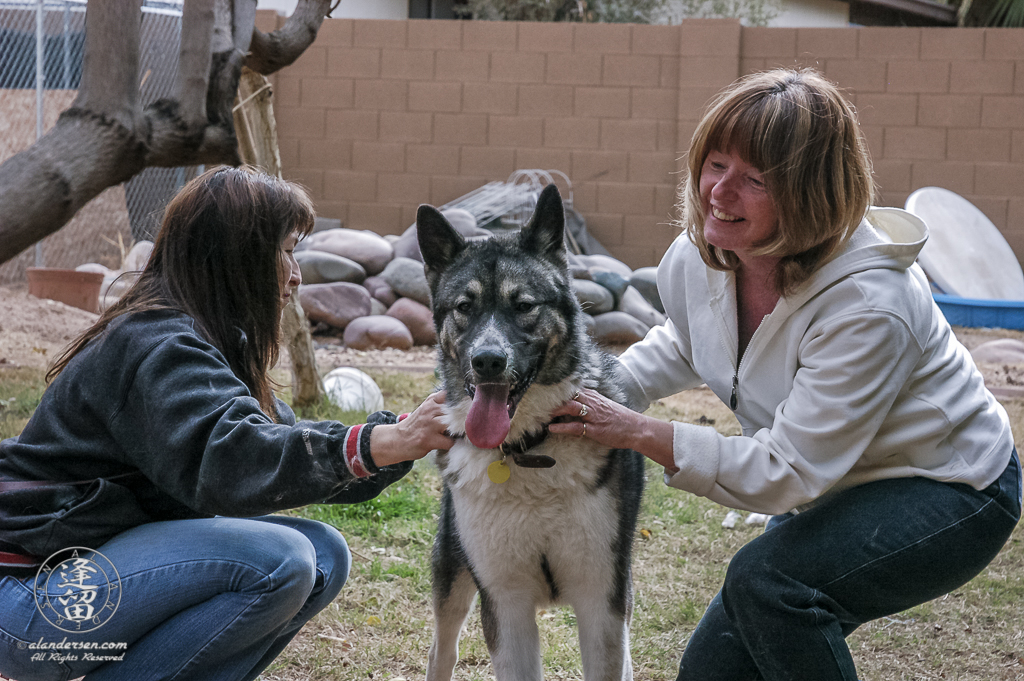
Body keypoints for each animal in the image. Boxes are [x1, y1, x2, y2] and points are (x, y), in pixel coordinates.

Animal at [413, 184, 638, 679]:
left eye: (524, 306)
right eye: (464, 307)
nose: (487, 361)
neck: (527, 448)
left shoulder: (602, 602)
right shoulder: (505, 601)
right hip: (452, 568)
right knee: (442, 650)